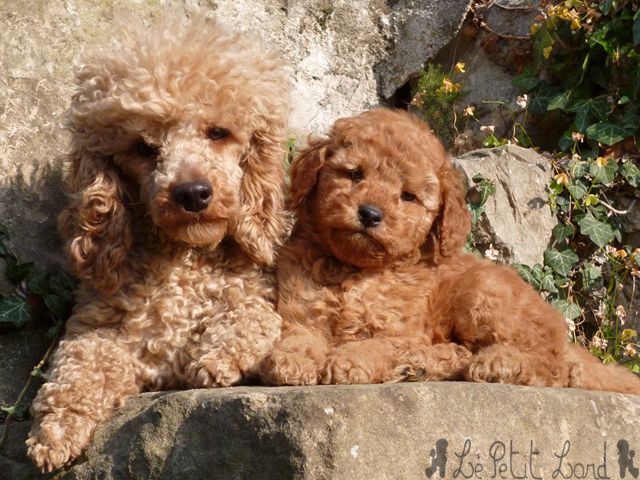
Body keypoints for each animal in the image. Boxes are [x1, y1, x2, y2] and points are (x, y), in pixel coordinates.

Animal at [27, 20, 290, 470]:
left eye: (218, 133)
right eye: (143, 148)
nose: (193, 193)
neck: (182, 258)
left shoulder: (256, 293)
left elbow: (250, 317)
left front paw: (216, 357)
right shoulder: (101, 327)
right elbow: (78, 364)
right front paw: (55, 430)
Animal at [258, 109, 640, 398]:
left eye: (408, 196)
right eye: (354, 174)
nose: (370, 214)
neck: (354, 272)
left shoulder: (401, 332)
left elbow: (378, 345)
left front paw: (348, 361)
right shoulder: (299, 314)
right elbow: (298, 337)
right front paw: (291, 361)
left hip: (483, 293)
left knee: (554, 367)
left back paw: (498, 364)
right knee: (465, 351)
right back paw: (420, 365)